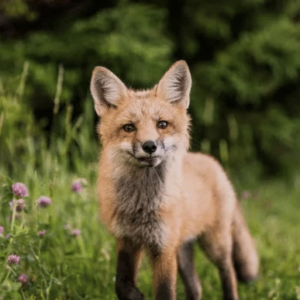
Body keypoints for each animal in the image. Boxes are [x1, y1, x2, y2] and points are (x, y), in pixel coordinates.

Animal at [89, 61, 258, 300]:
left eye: (162, 124)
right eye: (129, 127)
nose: (149, 146)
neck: (141, 205)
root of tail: (212, 161)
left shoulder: (164, 247)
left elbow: (165, 291)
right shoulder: (127, 240)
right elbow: (120, 283)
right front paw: (135, 294)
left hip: (214, 243)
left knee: (229, 273)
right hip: (183, 249)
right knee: (196, 287)